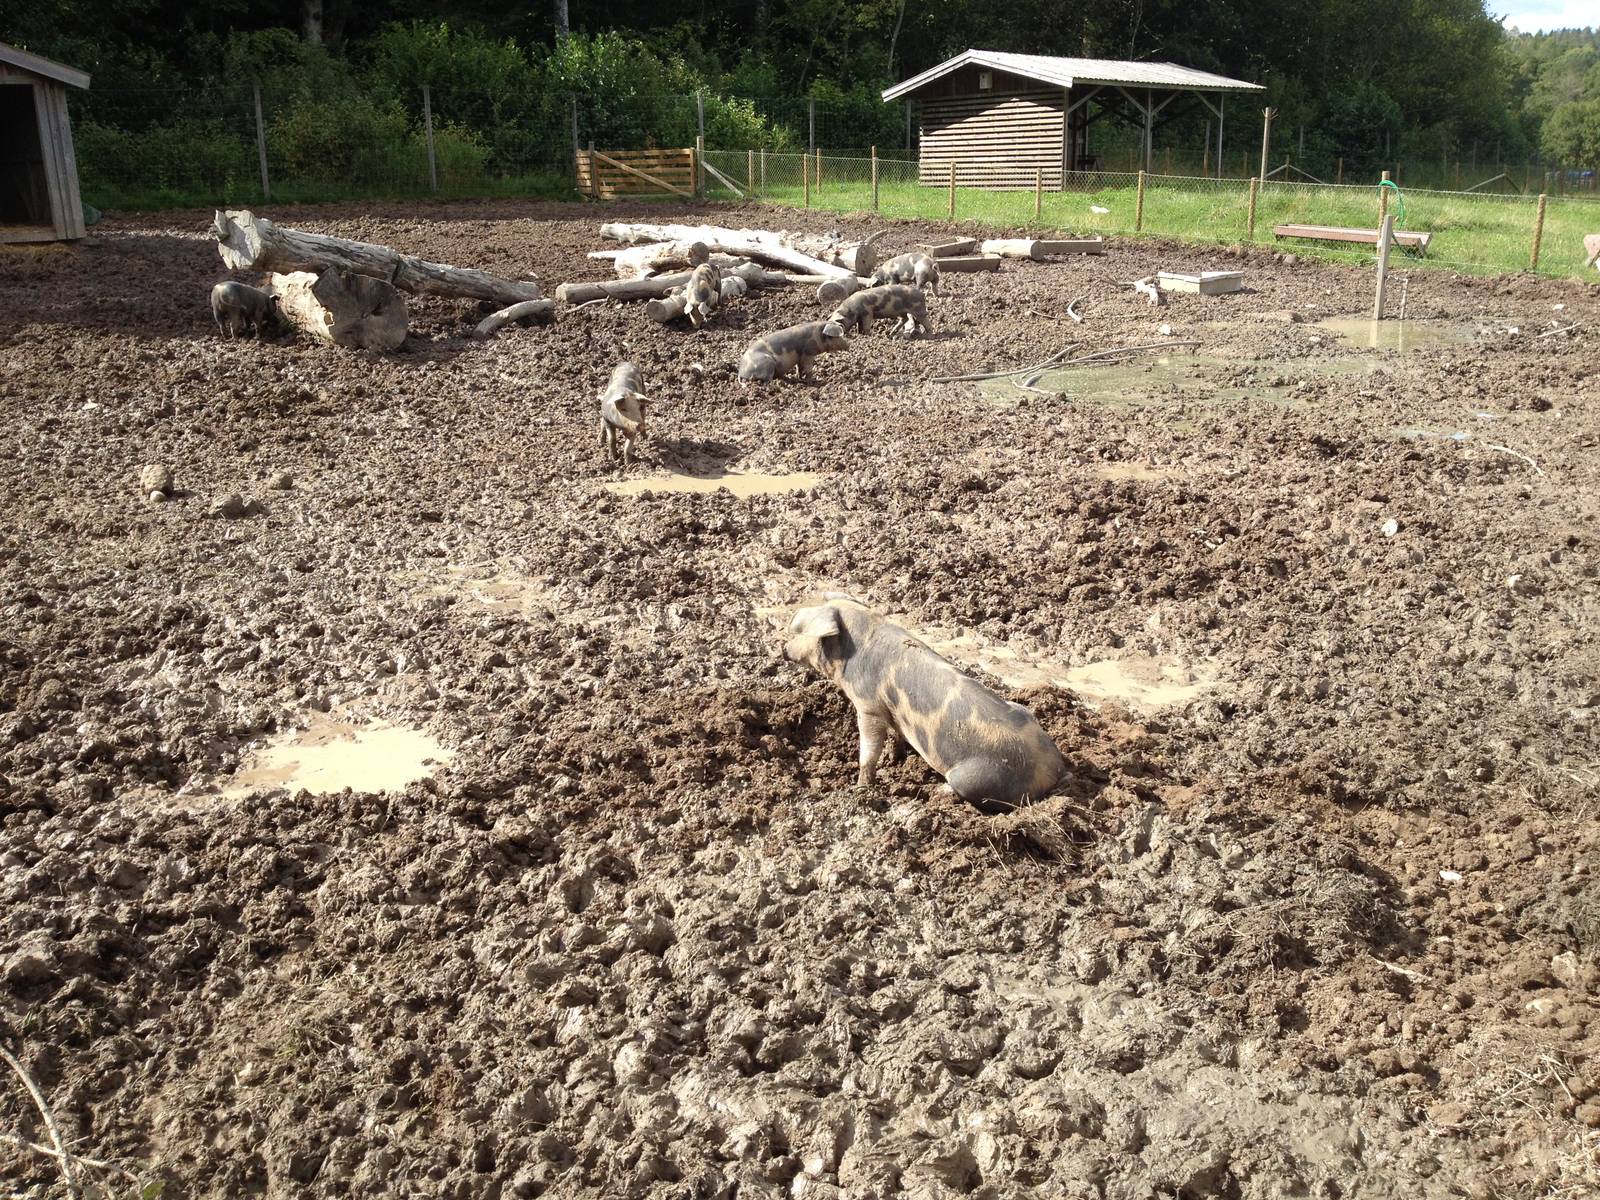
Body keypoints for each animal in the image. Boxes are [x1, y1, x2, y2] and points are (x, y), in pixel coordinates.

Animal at [783, 595, 1067, 810]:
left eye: (801, 631)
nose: (783, 648)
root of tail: (1050, 771)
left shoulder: (868, 704)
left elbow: (869, 749)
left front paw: (861, 788)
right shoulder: (890, 711)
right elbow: (895, 733)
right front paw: (893, 758)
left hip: (975, 776)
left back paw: (939, 791)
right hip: (1022, 710)